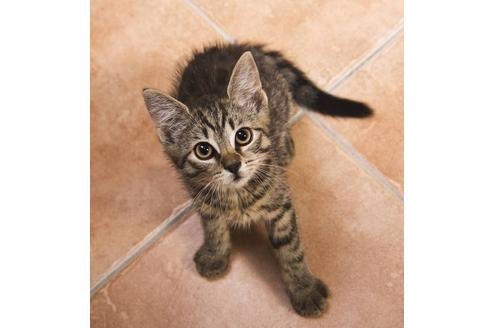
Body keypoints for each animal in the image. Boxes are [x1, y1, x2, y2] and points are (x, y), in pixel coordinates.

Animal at [142, 43, 372, 316]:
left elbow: (290, 247)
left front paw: (304, 289)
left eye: (243, 136)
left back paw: (285, 146)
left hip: (279, 100)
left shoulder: (281, 203)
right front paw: (215, 253)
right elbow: (213, 225)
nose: (233, 165)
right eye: (203, 150)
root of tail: (231, 46)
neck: (238, 195)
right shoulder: (200, 197)